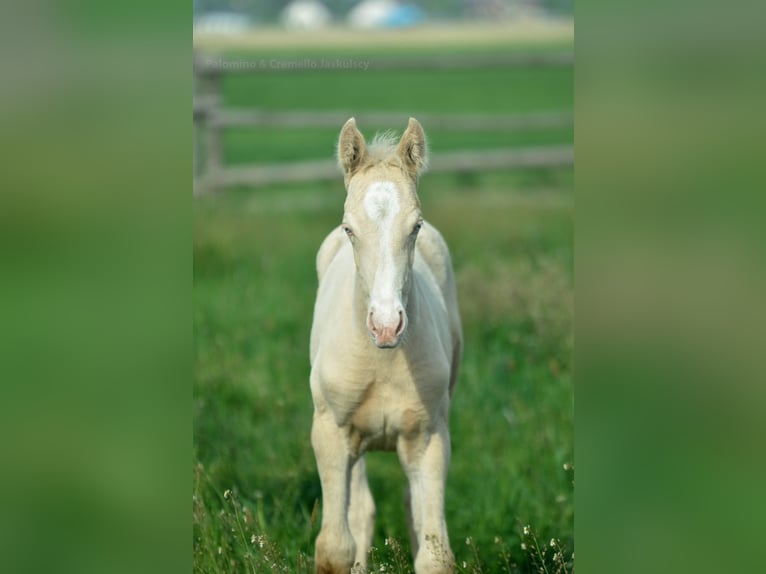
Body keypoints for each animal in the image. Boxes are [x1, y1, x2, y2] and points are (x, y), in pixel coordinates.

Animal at [310, 118, 462, 574]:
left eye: (415, 226)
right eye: (349, 228)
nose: (386, 326)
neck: (382, 362)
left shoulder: (430, 438)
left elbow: (434, 555)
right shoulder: (329, 432)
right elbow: (335, 547)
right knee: (360, 511)